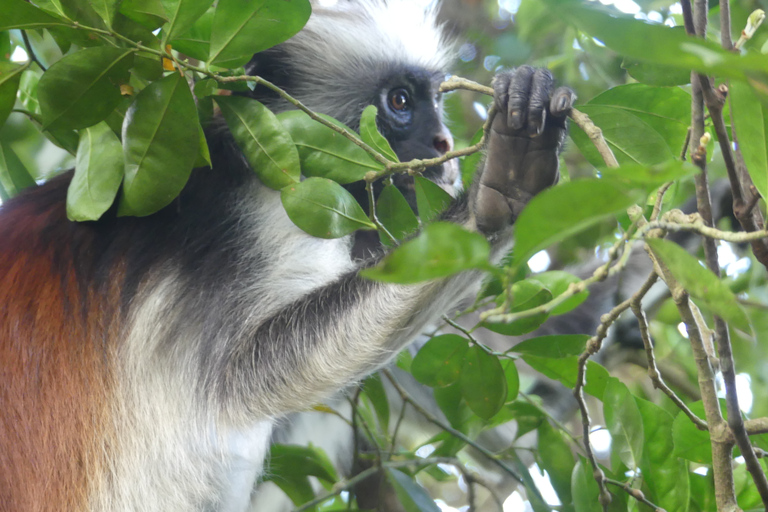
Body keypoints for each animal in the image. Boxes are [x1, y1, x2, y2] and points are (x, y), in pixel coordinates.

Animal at [0, 1, 572, 512]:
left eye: (431, 98)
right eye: (400, 101)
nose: (444, 143)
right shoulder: (263, 216)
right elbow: (242, 375)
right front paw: (498, 192)